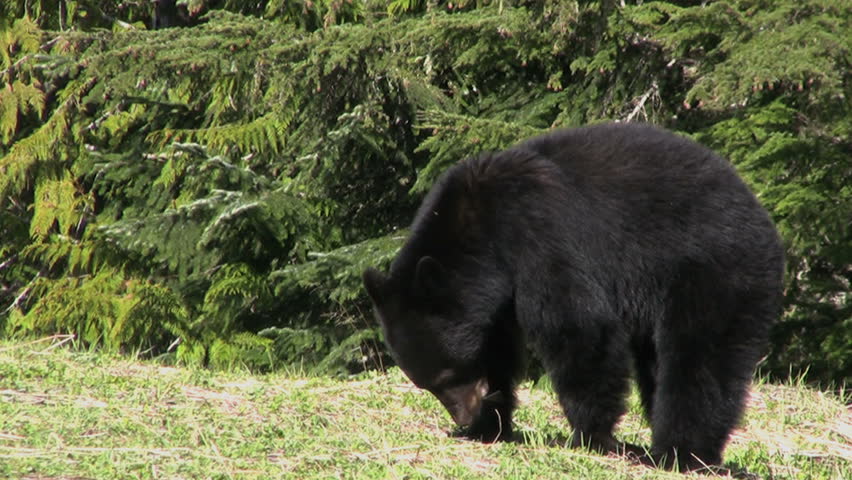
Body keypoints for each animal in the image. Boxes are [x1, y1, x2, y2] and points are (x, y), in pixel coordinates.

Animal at [363, 122, 784, 471]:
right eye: (428, 384)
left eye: (448, 374)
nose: (464, 416)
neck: (483, 228)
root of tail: (760, 212)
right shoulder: (497, 294)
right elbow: (498, 347)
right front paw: (489, 426)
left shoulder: (541, 234)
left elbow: (579, 329)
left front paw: (591, 436)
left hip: (713, 271)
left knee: (700, 359)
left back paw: (681, 452)